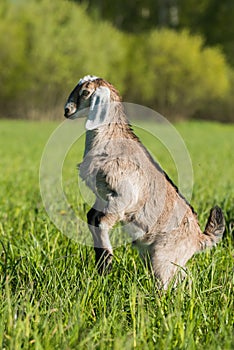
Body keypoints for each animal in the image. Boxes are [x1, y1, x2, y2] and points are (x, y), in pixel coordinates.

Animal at [64, 75, 225, 288]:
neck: (111, 138)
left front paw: (106, 260)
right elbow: (92, 217)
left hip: (163, 256)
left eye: (85, 92)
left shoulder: (123, 197)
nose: (67, 111)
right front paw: (101, 261)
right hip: (162, 257)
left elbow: (102, 221)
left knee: (167, 281)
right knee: (183, 276)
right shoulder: (101, 196)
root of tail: (198, 237)